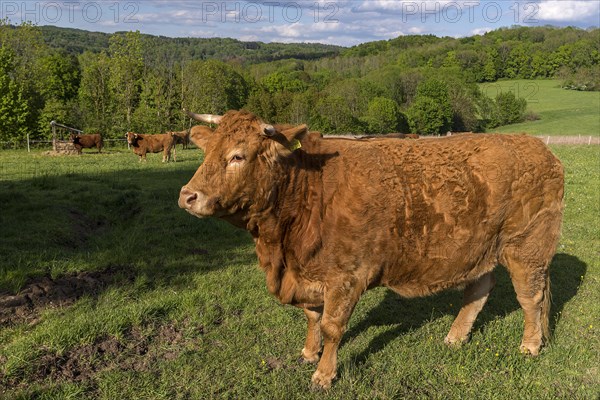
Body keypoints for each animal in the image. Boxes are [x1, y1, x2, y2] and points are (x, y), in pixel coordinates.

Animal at [177, 108, 564, 388]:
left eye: (237, 156)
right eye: (207, 152)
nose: (187, 196)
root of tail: (538, 147)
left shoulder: (346, 277)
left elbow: (332, 327)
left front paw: (324, 374)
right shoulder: (309, 273)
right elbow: (312, 317)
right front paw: (308, 352)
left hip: (527, 248)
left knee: (531, 297)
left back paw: (530, 345)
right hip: (480, 250)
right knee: (479, 290)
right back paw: (455, 337)